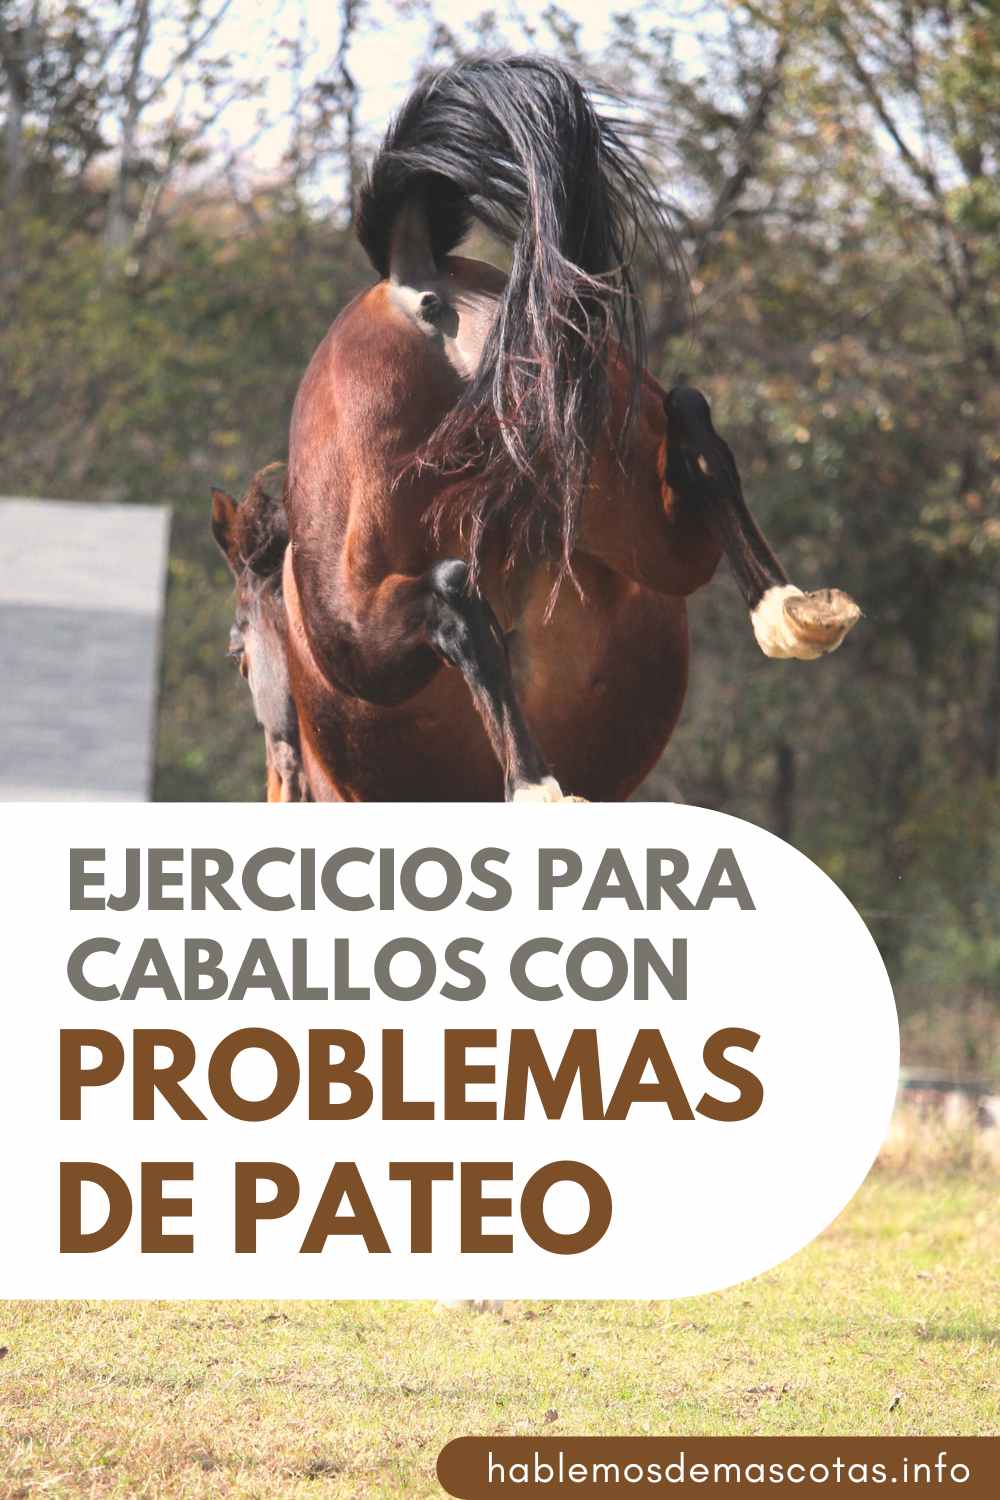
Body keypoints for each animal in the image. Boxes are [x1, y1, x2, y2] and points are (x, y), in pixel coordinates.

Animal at [261, 55, 859, 807]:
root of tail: (414, 285)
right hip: (604, 443)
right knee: (693, 435)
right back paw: (795, 611)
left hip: (361, 631)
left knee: (454, 601)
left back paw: (536, 786)